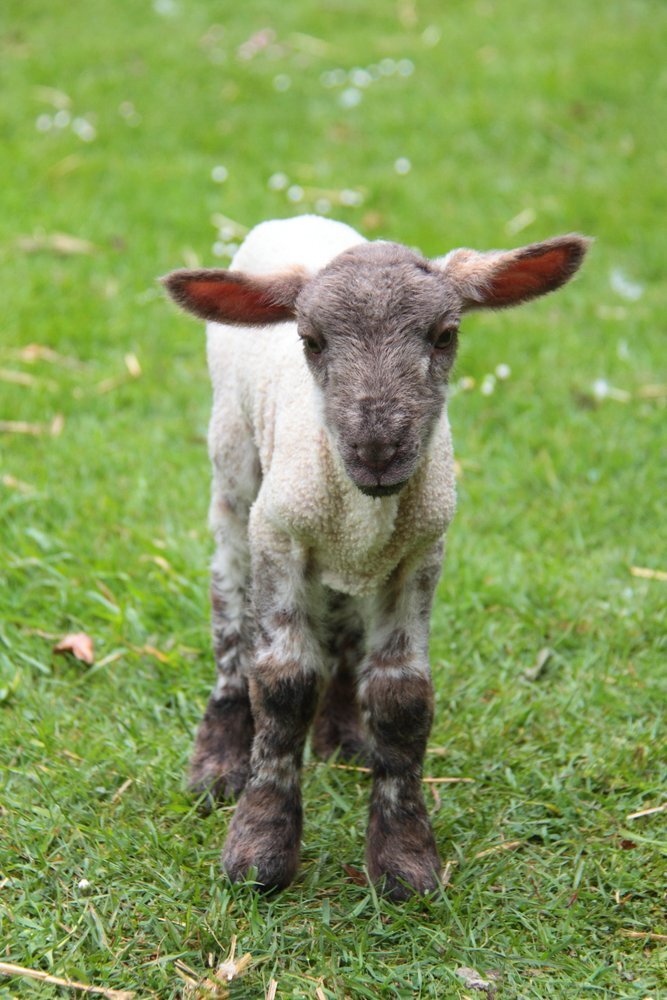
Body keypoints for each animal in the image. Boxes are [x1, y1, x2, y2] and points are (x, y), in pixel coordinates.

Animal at [162, 215, 589, 898]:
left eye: (446, 334)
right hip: (234, 471)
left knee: (341, 621)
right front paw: (259, 847)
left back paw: (342, 734)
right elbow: (281, 682)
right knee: (228, 603)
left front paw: (404, 858)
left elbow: (402, 695)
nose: (378, 447)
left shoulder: (418, 553)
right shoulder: (279, 536)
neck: (365, 505)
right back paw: (220, 755)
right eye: (310, 340)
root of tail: (298, 217)